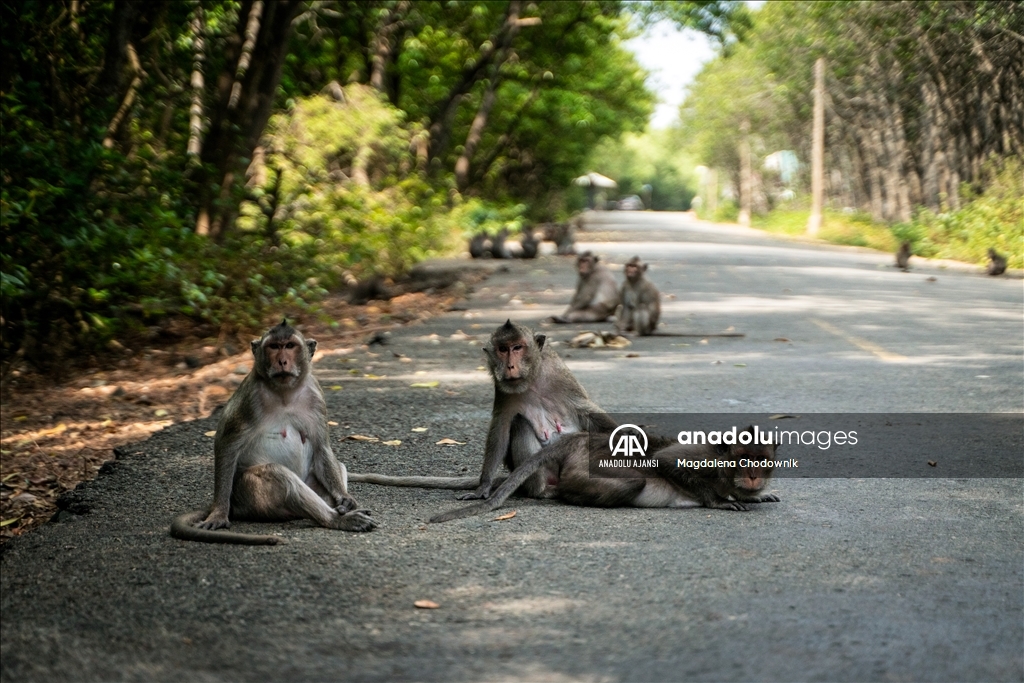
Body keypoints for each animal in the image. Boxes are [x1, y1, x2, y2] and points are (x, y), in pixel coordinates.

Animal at [428, 428, 778, 524]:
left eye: (763, 461)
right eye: (744, 459)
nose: (753, 477)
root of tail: (578, 438)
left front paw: (759, 495)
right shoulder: (701, 456)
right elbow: (665, 461)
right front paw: (718, 501)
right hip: (586, 467)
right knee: (634, 481)